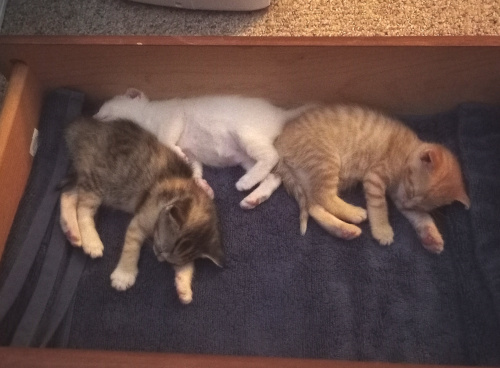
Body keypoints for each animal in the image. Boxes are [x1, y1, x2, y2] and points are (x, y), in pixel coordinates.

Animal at [58, 116, 223, 304]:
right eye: (161, 246)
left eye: (172, 261)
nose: (159, 256)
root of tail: (83, 127)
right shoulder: (141, 220)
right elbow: (131, 249)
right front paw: (124, 275)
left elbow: (188, 265)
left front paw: (184, 285)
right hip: (98, 180)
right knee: (83, 209)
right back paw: (91, 242)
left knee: (67, 194)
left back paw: (72, 232)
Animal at [93, 89, 310, 208]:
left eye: (103, 113)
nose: (93, 118)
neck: (147, 121)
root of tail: (280, 114)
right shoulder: (193, 155)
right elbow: (194, 167)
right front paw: (200, 183)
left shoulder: (174, 115)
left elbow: (165, 139)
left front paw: (175, 150)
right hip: (246, 158)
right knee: (274, 177)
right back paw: (255, 197)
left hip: (245, 134)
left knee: (271, 156)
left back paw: (245, 183)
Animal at [252, 103, 470, 253]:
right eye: (411, 188)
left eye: (420, 203)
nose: (406, 203)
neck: (408, 151)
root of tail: (280, 142)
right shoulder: (375, 177)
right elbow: (379, 206)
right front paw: (382, 230)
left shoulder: (399, 196)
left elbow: (420, 217)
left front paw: (431, 236)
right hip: (326, 161)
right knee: (324, 197)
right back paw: (354, 213)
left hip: (310, 176)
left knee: (313, 206)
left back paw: (345, 230)